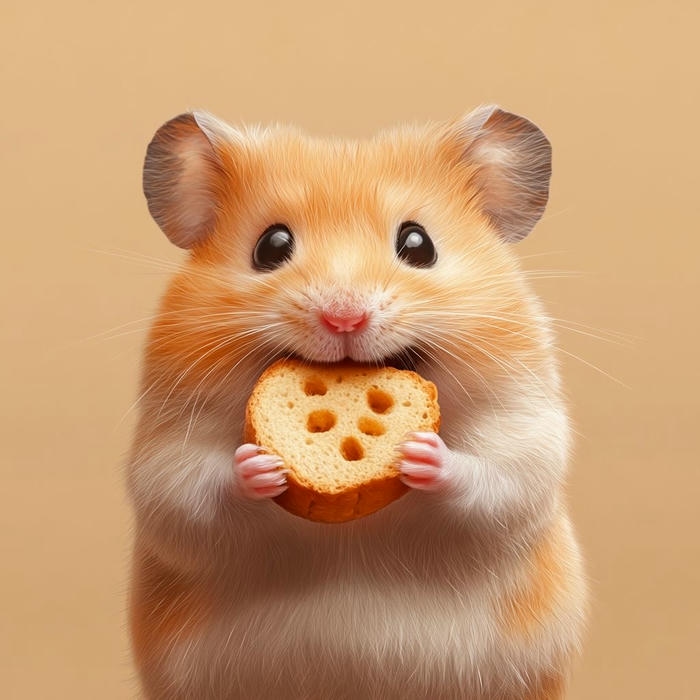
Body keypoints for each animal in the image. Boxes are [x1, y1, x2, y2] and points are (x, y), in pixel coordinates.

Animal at [127, 106, 586, 699]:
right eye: (270, 246)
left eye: (418, 244)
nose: (344, 317)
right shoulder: (167, 443)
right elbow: (189, 493)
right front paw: (259, 466)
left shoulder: (525, 427)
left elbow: (498, 478)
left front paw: (423, 455)